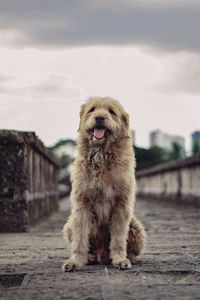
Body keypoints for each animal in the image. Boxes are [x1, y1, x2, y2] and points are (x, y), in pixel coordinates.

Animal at [62, 96, 145, 272]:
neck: (101, 155)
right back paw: (90, 257)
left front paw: (120, 259)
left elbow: (119, 238)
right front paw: (75, 261)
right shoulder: (82, 202)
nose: (99, 118)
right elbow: (80, 238)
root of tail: (102, 255)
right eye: (92, 110)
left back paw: (129, 258)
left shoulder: (122, 203)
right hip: (69, 224)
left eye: (111, 112)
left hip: (136, 227)